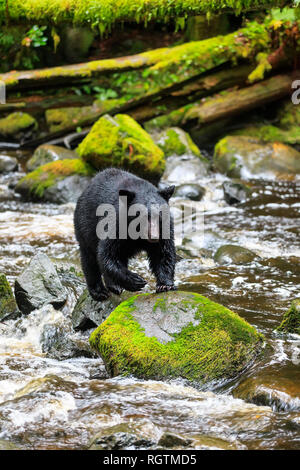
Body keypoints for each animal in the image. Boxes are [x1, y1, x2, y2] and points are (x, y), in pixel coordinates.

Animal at [74, 169, 176, 302]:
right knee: (89, 258)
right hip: (85, 226)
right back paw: (99, 291)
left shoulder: (165, 228)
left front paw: (165, 285)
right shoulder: (116, 224)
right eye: (143, 215)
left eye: (160, 215)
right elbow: (107, 254)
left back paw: (114, 286)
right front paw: (136, 280)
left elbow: (163, 253)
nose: (154, 237)